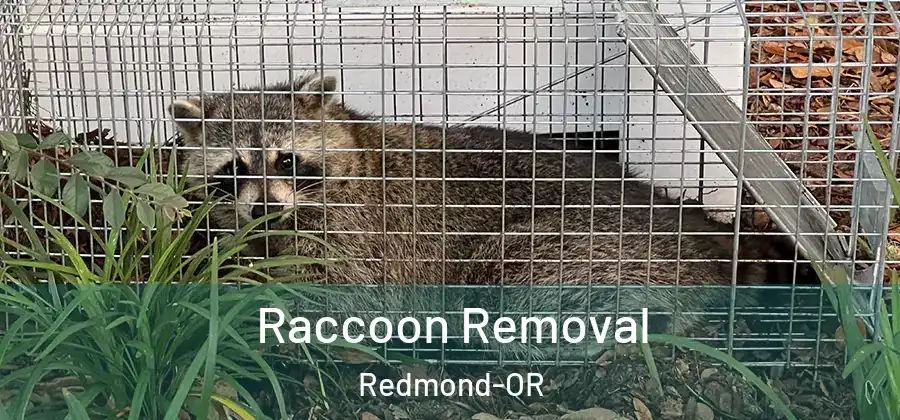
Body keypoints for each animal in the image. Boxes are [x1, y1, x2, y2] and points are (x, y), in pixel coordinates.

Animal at [168, 73, 801, 360]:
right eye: (234, 168)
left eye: (287, 159)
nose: (266, 205)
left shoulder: (365, 233)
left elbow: (343, 295)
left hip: (582, 244)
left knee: (518, 282)